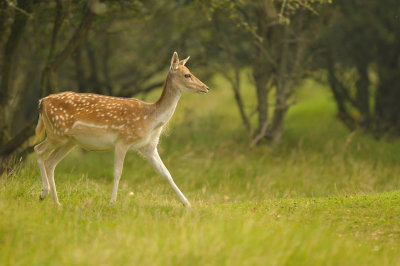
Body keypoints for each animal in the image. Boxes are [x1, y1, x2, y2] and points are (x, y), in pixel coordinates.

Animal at [33, 51, 209, 207]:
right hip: (56, 133)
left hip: (70, 141)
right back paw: (43, 193)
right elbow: (118, 173)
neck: (151, 120)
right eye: (187, 75)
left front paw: (187, 204)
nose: (206, 88)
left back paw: (56, 202)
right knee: (38, 150)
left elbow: (166, 173)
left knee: (50, 162)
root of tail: (42, 102)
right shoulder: (122, 140)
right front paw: (112, 203)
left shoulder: (149, 146)